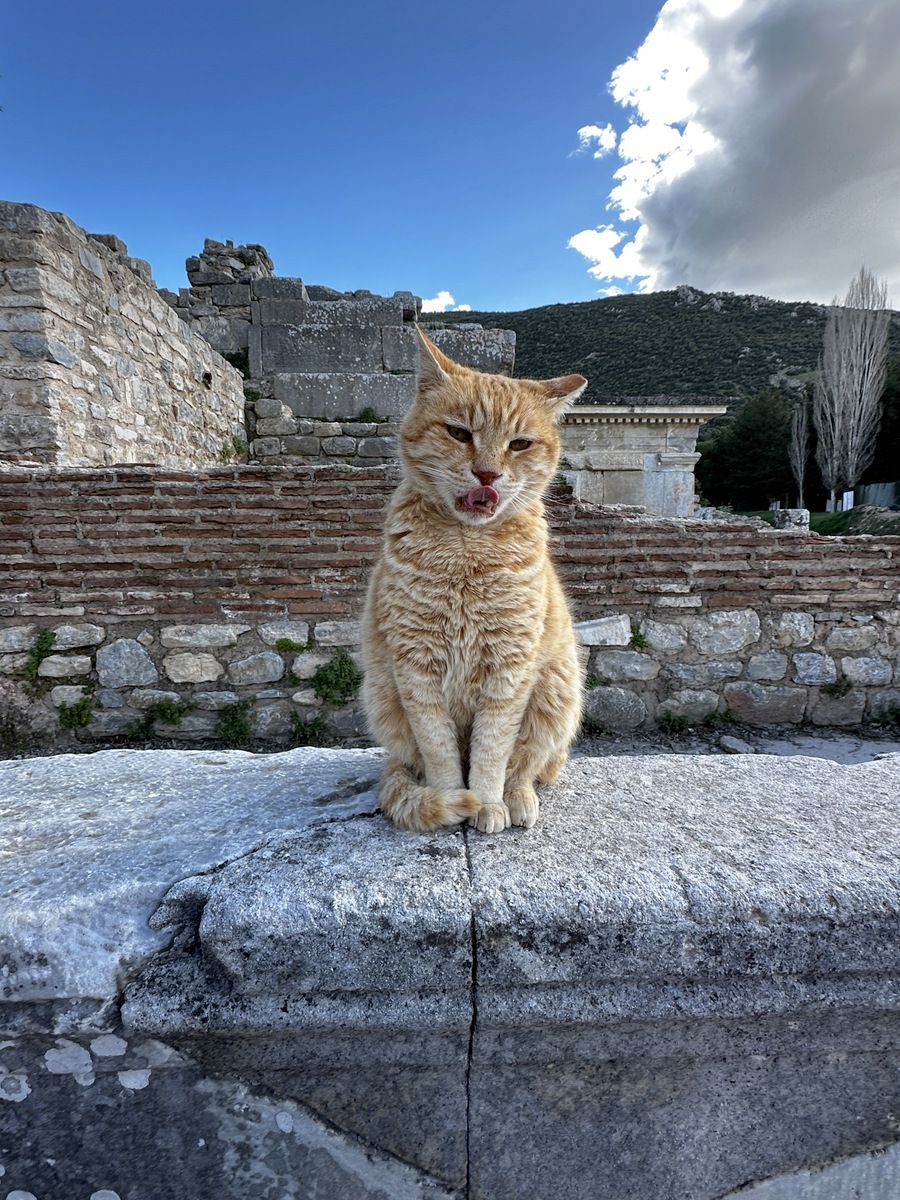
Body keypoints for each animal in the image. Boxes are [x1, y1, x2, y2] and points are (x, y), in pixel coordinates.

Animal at [362, 328, 588, 835]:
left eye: (519, 444)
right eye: (459, 433)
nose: (487, 472)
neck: (467, 554)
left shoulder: (510, 668)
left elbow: (492, 750)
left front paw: (485, 802)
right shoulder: (415, 666)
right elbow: (441, 752)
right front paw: (454, 800)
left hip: (556, 692)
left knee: (527, 766)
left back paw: (518, 799)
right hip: (383, 696)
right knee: (412, 764)